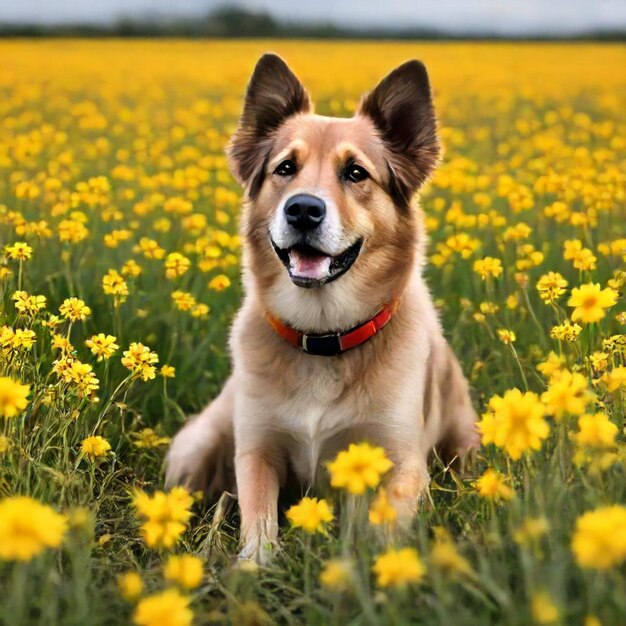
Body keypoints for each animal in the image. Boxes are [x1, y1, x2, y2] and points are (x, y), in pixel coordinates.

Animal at [163, 52, 476, 560]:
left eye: (356, 173)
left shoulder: (402, 462)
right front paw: (252, 566)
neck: (324, 336)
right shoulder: (257, 451)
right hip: (195, 448)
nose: (304, 210)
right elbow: (257, 522)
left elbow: (381, 532)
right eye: (285, 168)